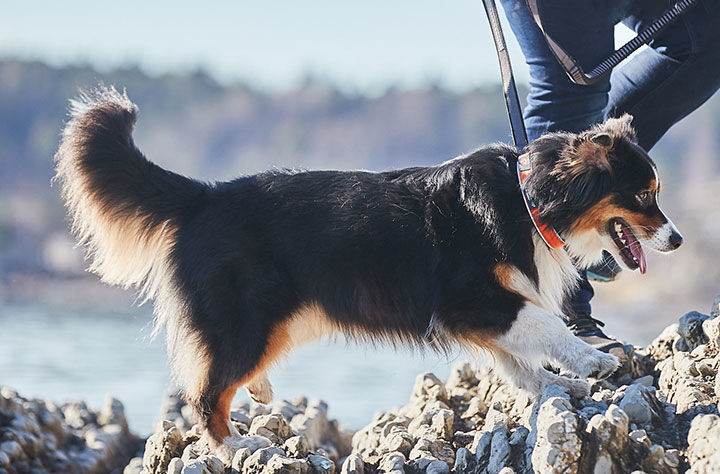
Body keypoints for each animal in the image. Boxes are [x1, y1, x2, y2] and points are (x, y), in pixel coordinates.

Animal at [54, 87, 680, 454]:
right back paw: (232, 448)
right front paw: (593, 362)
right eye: (644, 195)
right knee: (205, 393)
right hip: (247, 319)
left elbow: (516, 362)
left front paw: (558, 384)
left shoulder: (480, 314)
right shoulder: (472, 297)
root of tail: (203, 196)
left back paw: (257, 393)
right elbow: (543, 327)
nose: (676, 238)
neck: (532, 199)